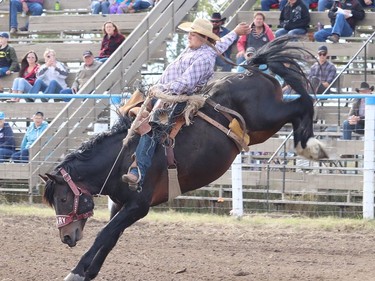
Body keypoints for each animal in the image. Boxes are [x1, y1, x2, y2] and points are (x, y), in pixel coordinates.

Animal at [42, 37, 328, 280]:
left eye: (63, 199)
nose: (66, 237)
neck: (122, 158)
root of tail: (253, 71)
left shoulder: (139, 206)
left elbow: (104, 233)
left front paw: (75, 272)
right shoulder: (120, 204)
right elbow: (111, 236)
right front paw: (89, 272)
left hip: (268, 115)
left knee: (302, 105)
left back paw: (312, 148)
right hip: (263, 127)